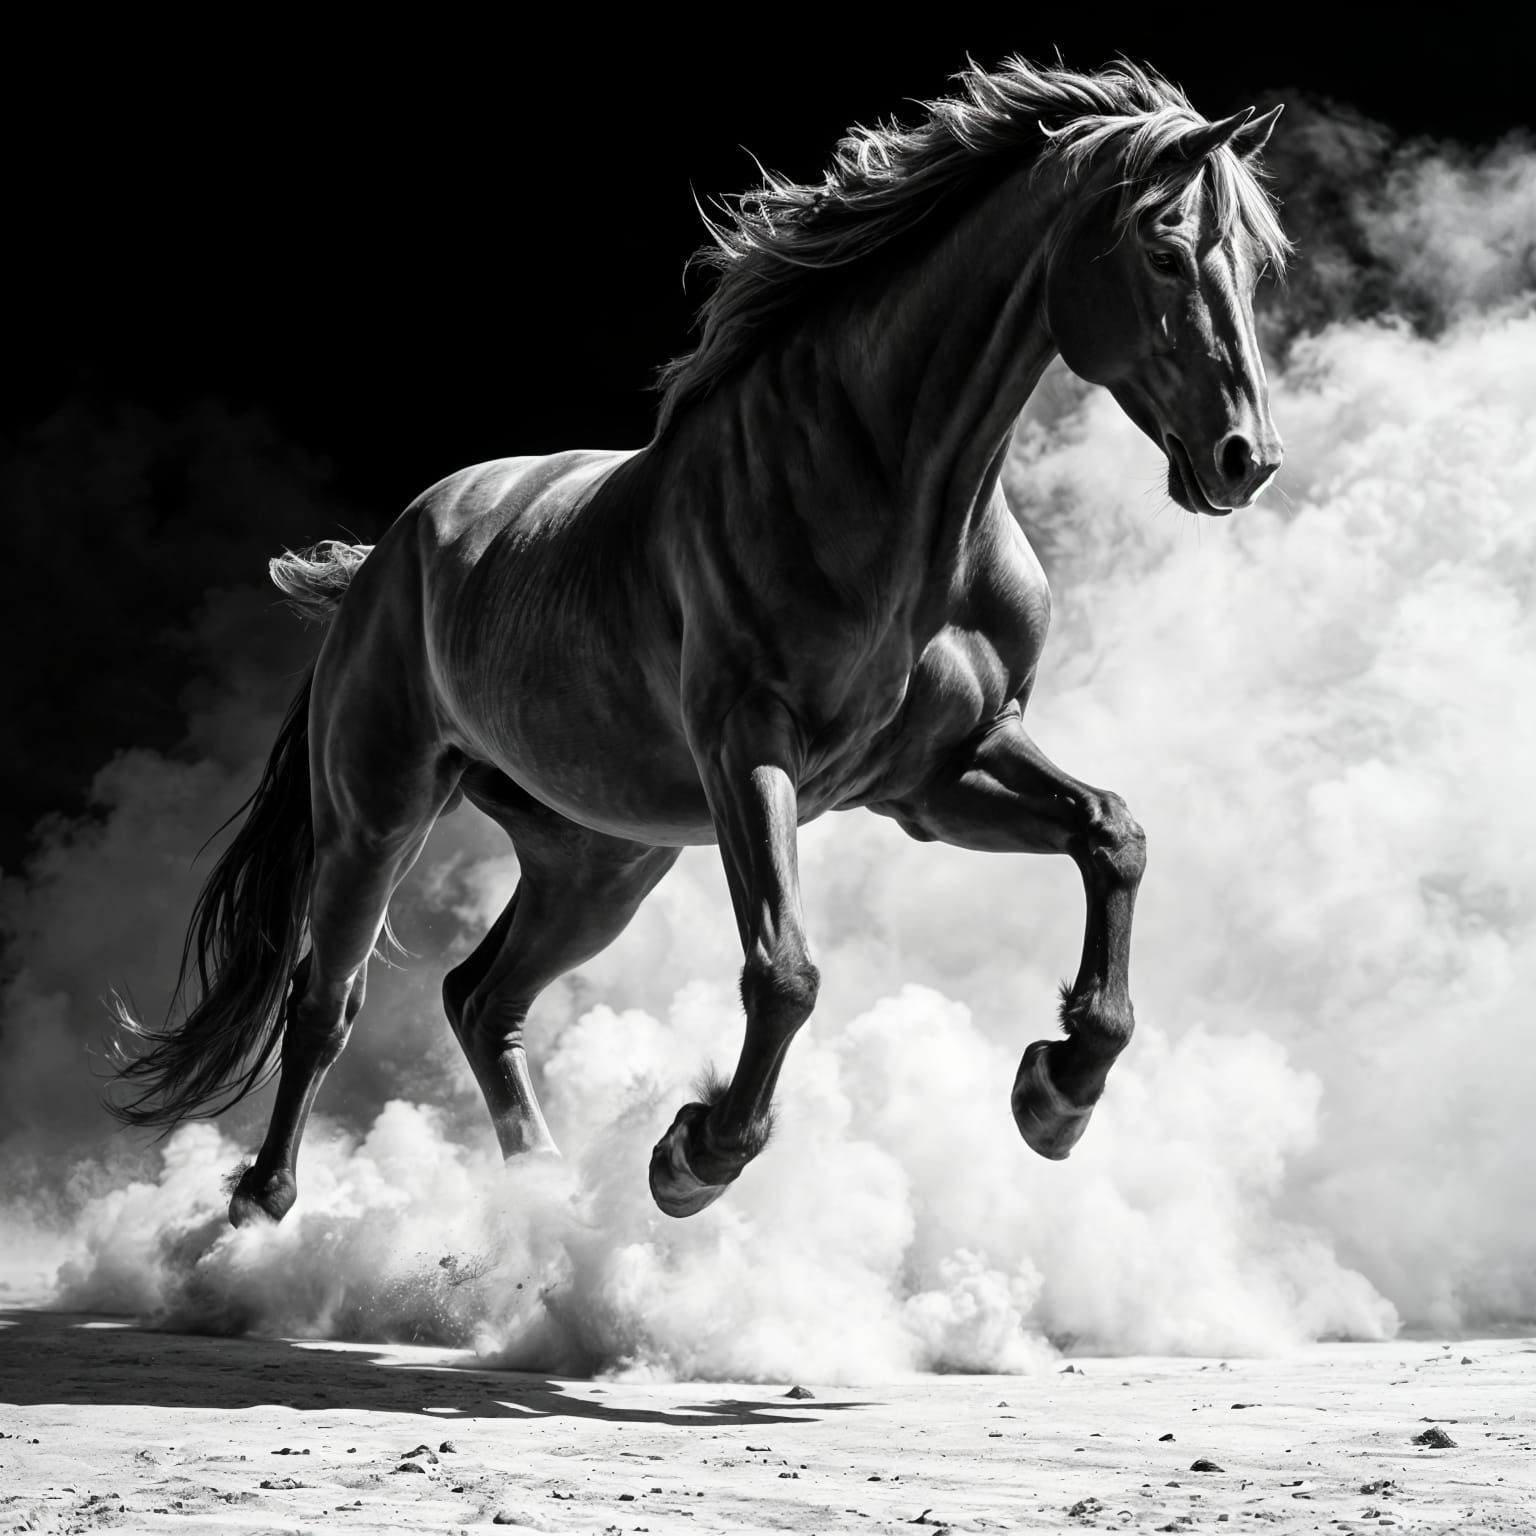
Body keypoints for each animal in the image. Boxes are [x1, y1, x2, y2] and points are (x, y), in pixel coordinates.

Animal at [109, 59, 1288, 1227]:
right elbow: (785, 972)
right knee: (327, 1001)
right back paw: (259, 1216)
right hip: (378, 814)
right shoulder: (749, 752)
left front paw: (1058, 1090)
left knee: (480, 1000)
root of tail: (385, 554)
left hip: (599, 860)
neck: (894, 501)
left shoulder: (943, 772)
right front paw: (696, 1154)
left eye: (1256, 265)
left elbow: (1114, 834)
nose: (1247, 459)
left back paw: (544, 1207)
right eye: (1165, 249)